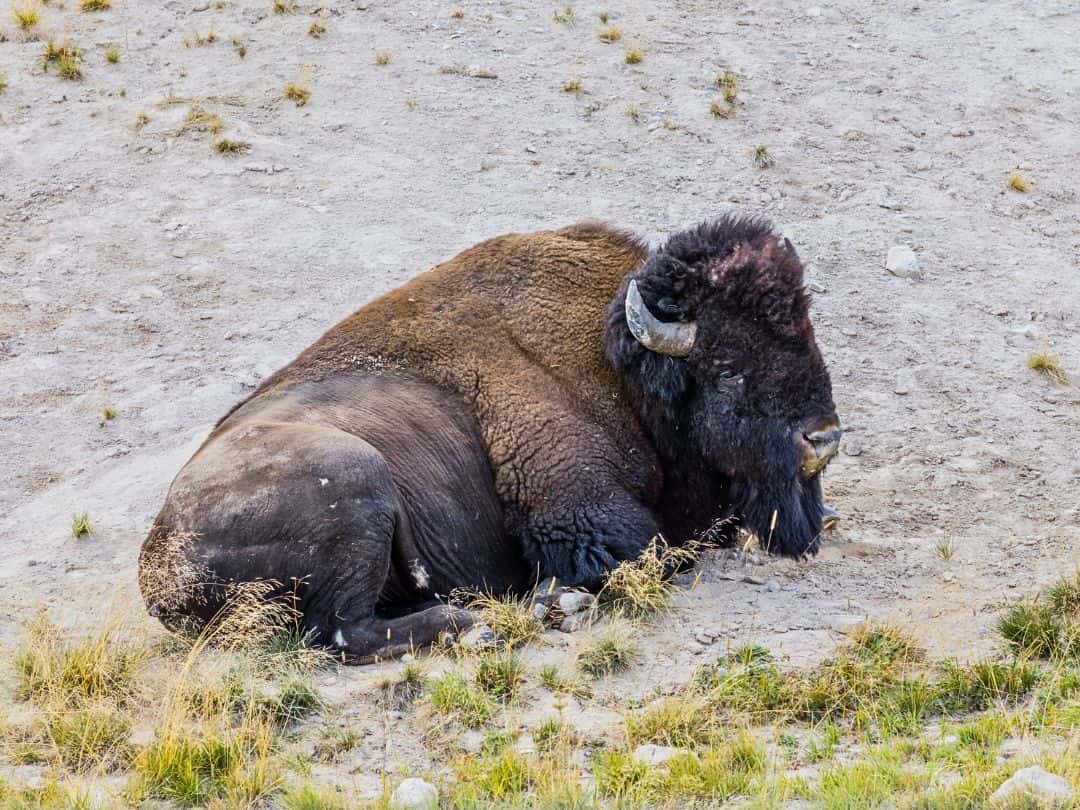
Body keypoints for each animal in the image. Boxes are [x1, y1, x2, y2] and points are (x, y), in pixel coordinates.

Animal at [137, 216, 842, 660]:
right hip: (357, 484)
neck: (617, 363)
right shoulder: (580, 512)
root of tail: (156, 562)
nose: (824, 438)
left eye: (807, 336)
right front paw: (558, 599)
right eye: (727, 367)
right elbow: (649, 553)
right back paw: (489, 623)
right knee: (340, 633)